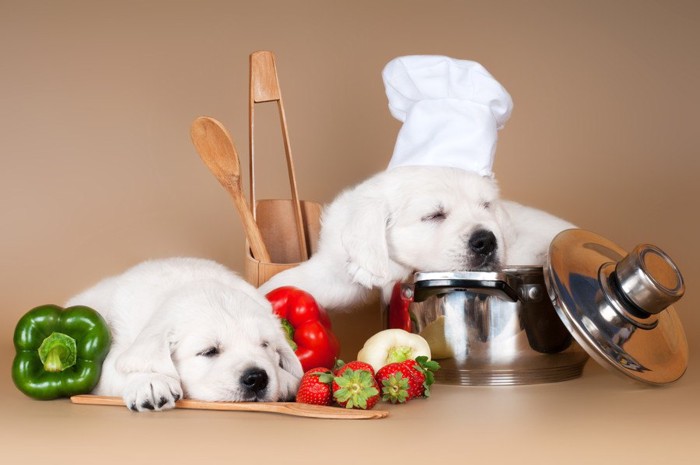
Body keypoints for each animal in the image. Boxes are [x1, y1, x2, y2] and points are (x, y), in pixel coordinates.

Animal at [66, 256, 304, 412]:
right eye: (209, 351)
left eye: (265, 345)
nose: (257, 378)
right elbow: (125, 364)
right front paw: (150, 381)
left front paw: (284, 377)